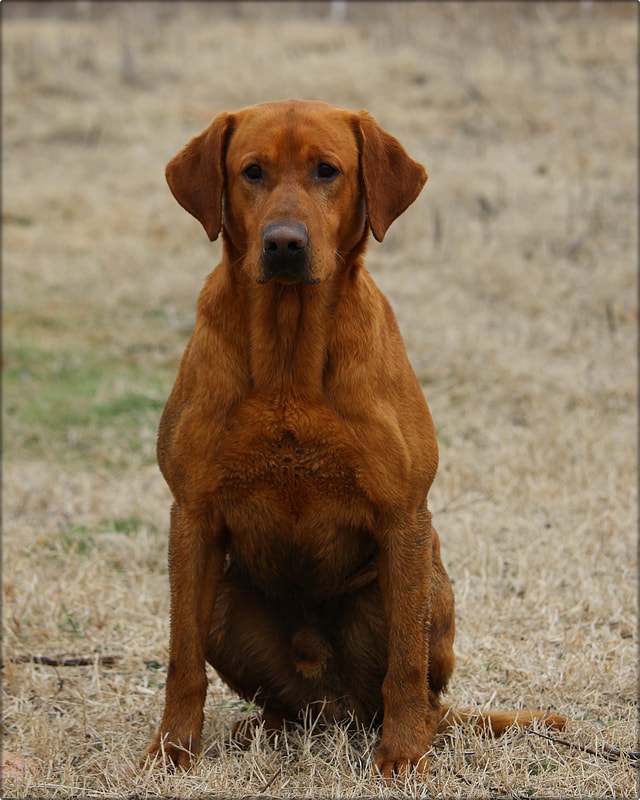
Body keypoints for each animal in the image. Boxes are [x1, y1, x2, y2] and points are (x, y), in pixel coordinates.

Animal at [145, 97, 564, 780]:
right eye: (252, 171)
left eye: (327, 170)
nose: (284, 244)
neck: (289, 353)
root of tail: (334, 708)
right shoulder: (193, 516)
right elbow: (182, 661)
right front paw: (172, 751)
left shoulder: (403, 516)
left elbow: (404, 666)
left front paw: (402, 758)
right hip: (228, 602)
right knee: (282, 705)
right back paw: (259, 732)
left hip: (425, 583)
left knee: (419, 692)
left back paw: (412, 732)